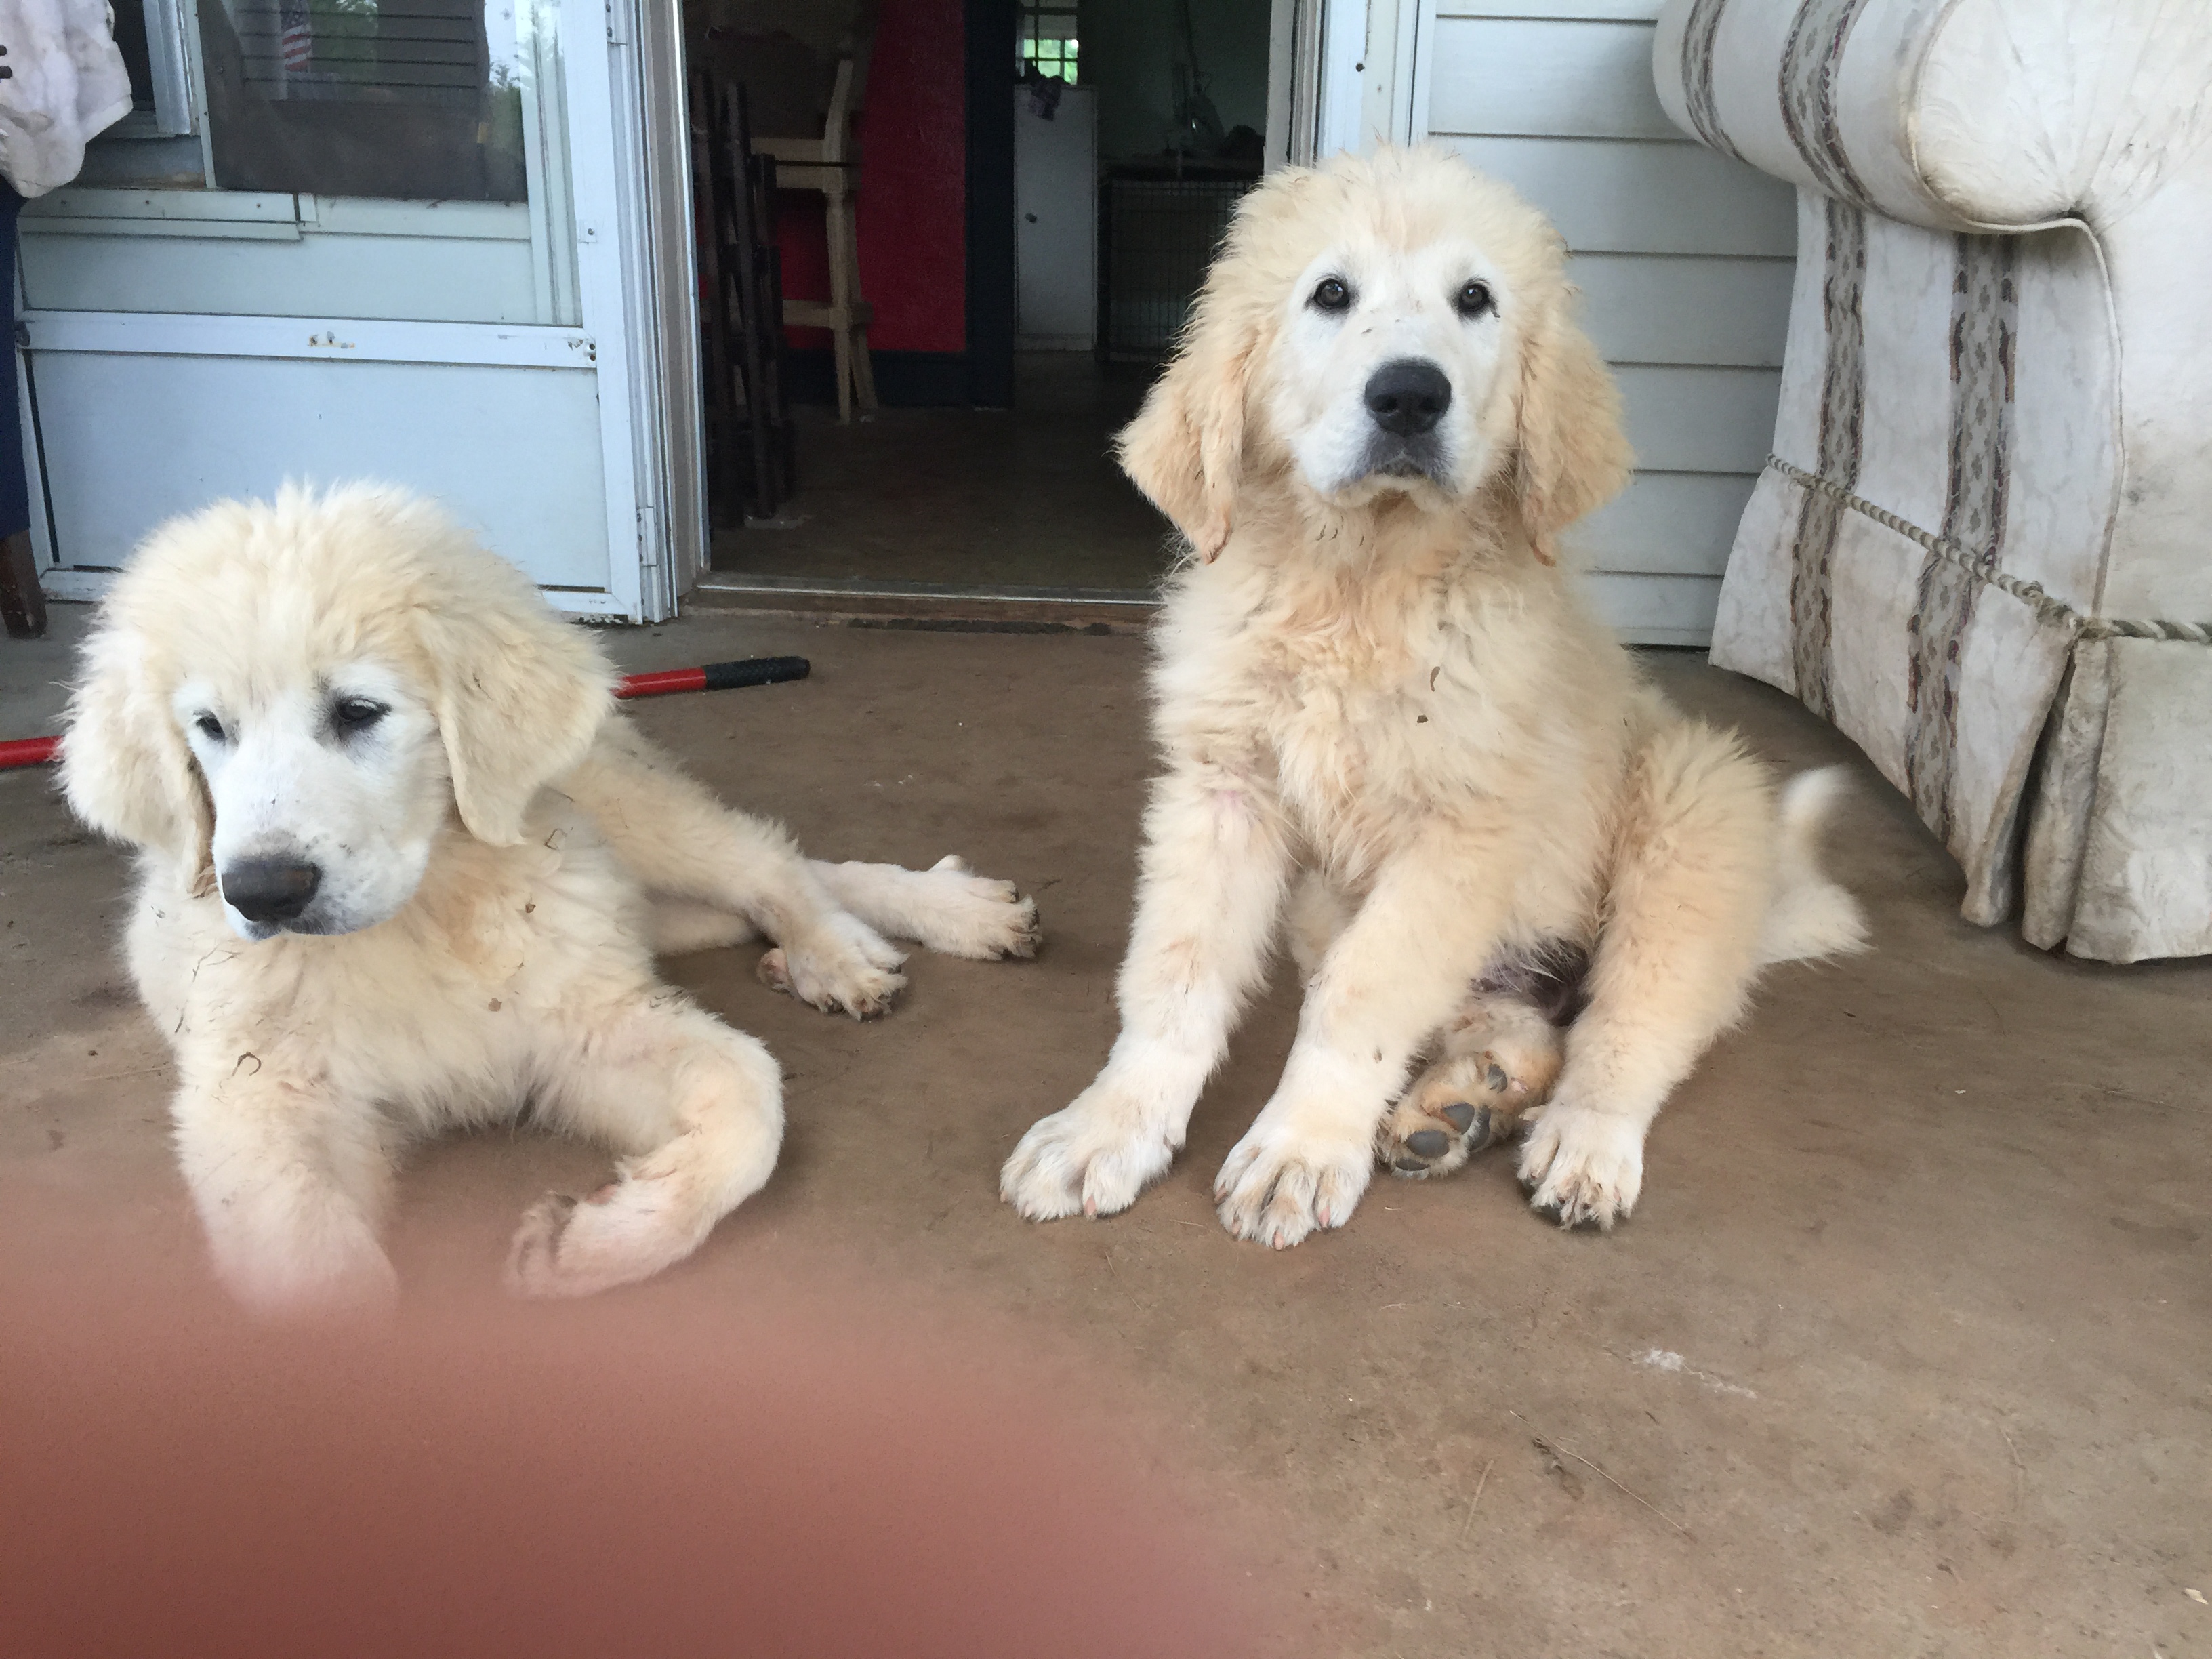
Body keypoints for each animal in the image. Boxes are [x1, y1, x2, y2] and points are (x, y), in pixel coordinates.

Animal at [64, 487, 1035, 1318]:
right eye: (209, 729)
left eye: (358, 711)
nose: (262, 892)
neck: (424, 913)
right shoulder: (254, 1102)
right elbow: (315, 1276)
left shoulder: (582, 1024)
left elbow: (752, 1101)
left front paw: (585, 1246)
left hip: (623, 808)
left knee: (772, 859)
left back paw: (860, 944)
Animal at [1004, 152, 1866, 1247]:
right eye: (1331, 294)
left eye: (1476, 300)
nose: (1411, 396)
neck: (1361, 587)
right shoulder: (1223, 790)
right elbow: (1176, 976)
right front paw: (1109, 1126)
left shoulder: (1460, 831)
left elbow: (1361, 996)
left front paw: (1297, 1151)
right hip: (1355, 908)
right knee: (1522, 1020)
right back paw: (1462, 1102)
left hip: (1689, 811)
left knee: (1629, 1026)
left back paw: (1580, 1143)